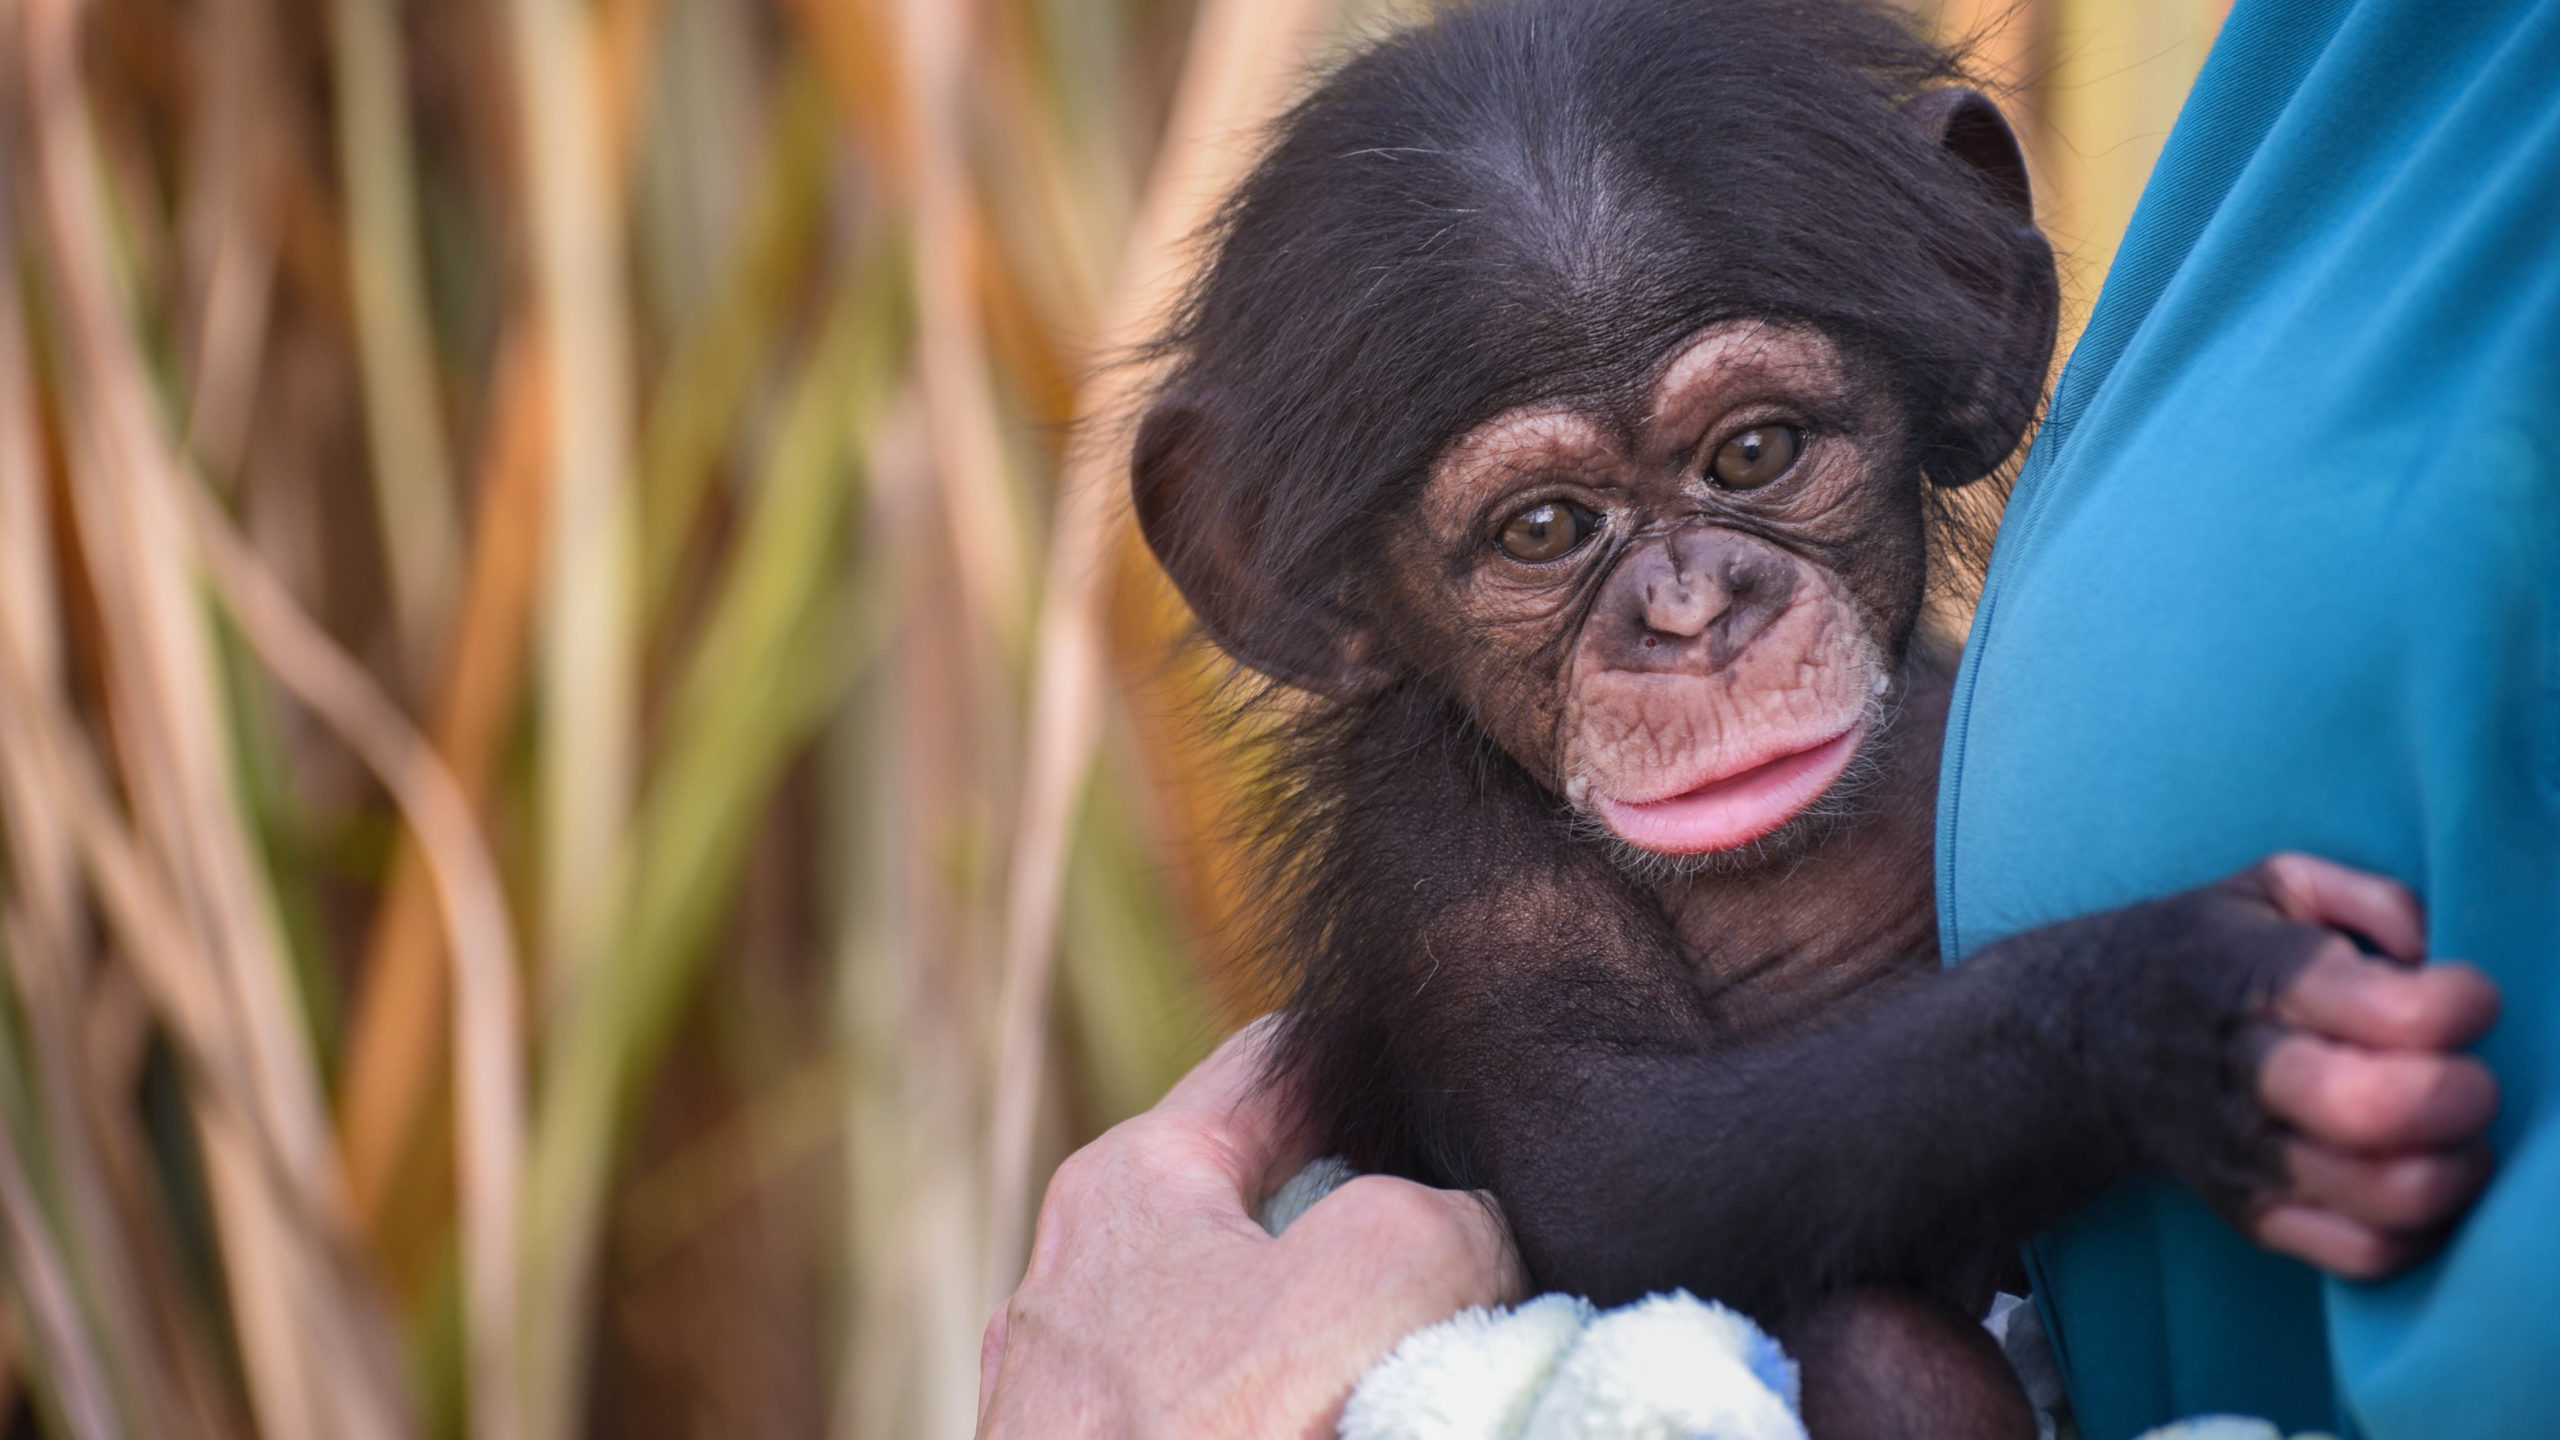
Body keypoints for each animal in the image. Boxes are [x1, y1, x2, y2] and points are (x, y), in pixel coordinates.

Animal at [1136, 5, 2498, 1424]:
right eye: (1544, 529)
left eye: (1753, 453)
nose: (1688, 614)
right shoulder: (1428, 837)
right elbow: (1613, 1161)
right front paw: (2189, 1011)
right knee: (1873, 1339)